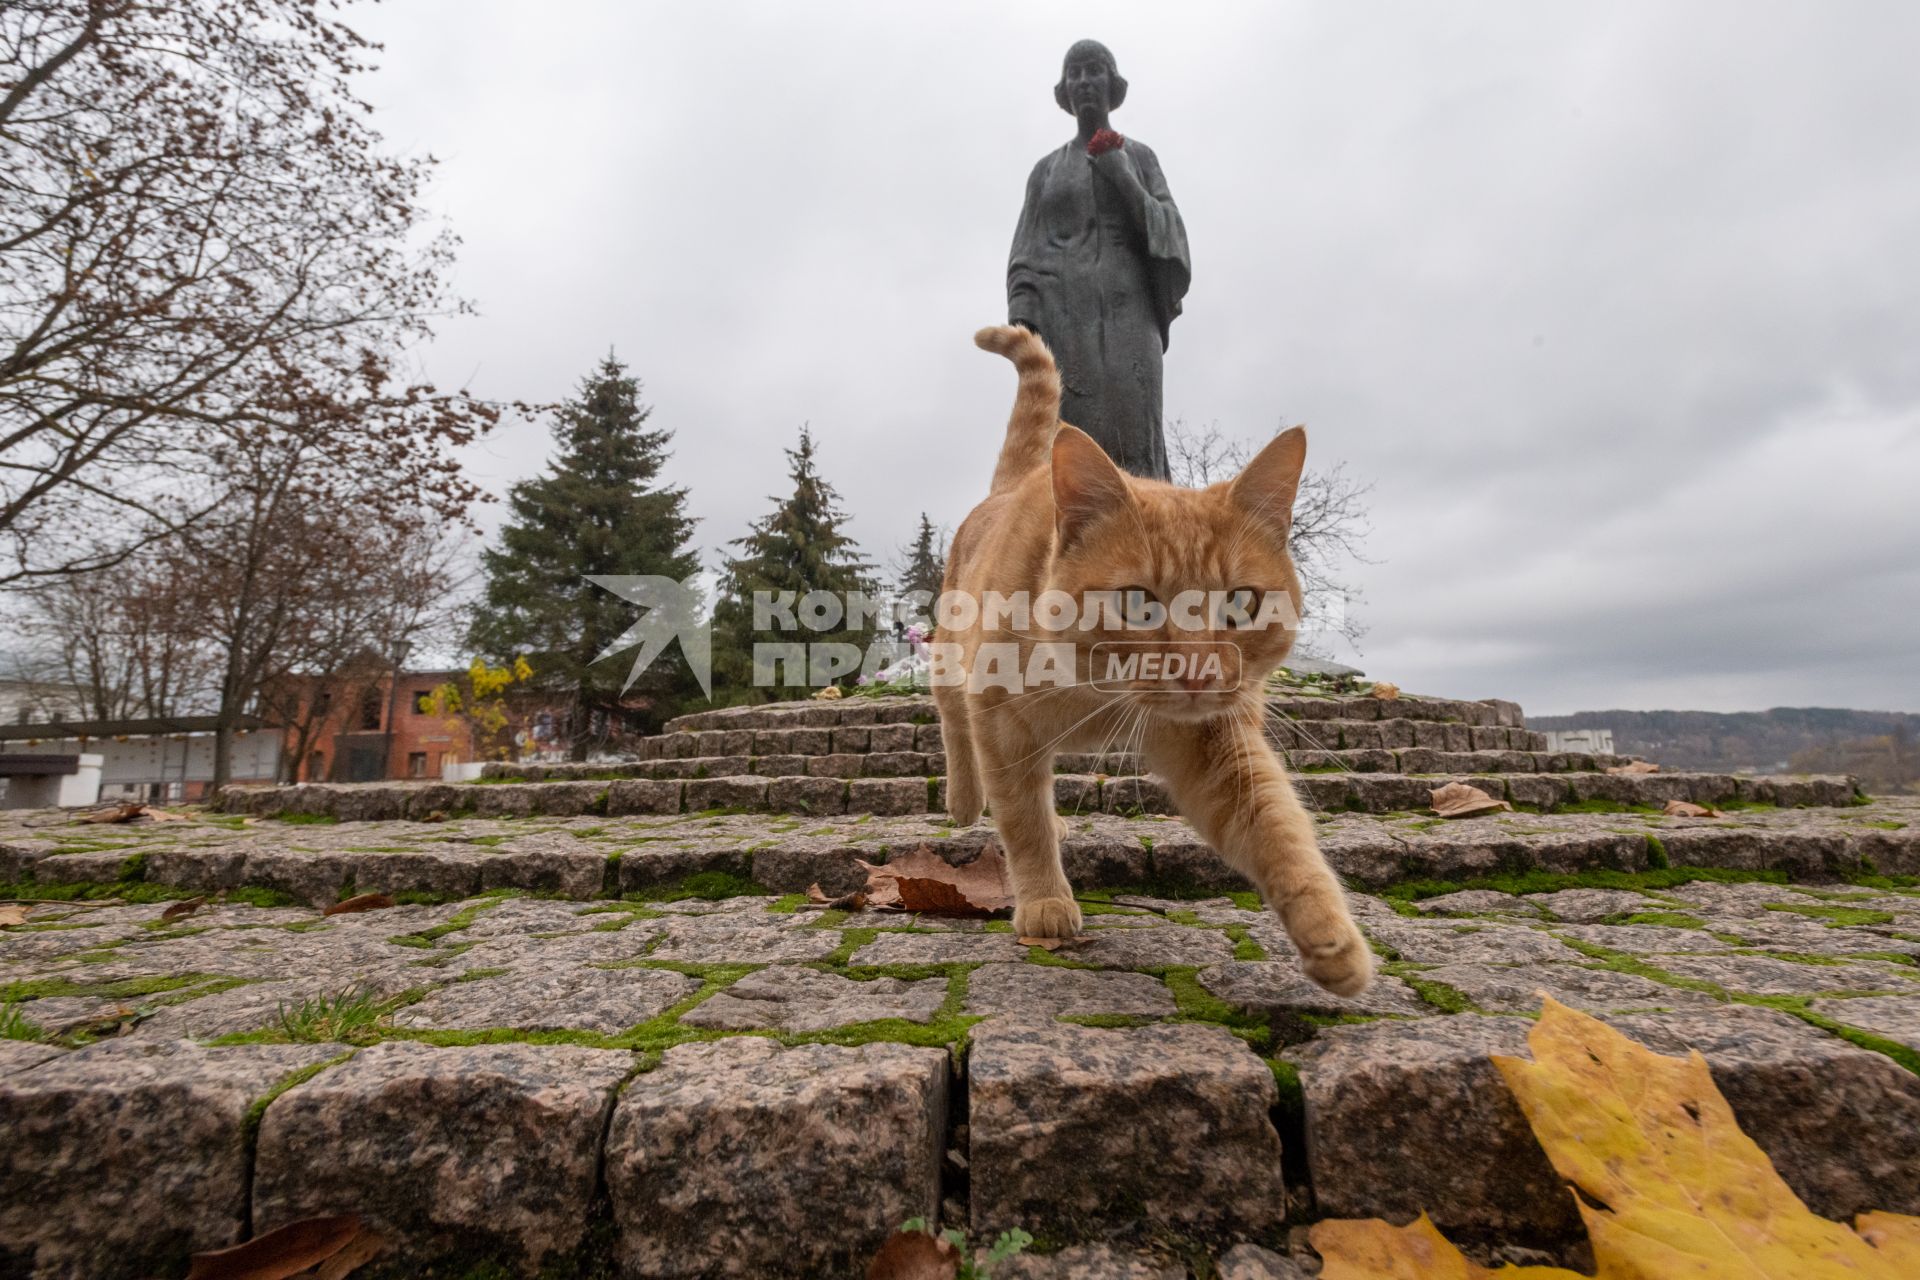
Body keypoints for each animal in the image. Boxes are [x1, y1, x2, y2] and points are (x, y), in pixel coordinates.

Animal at [933, 326, 1374, 997]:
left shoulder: (1215, 741)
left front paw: (1330, 933)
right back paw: (963, 799)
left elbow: (1277, 825)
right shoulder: (1001, 722)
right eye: (1138, 603)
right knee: (957, 727)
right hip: (949, 662)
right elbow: (1019, 817)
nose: (1197, 671)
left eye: (1241, 602)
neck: (1090, 691)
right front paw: (1044, 900)